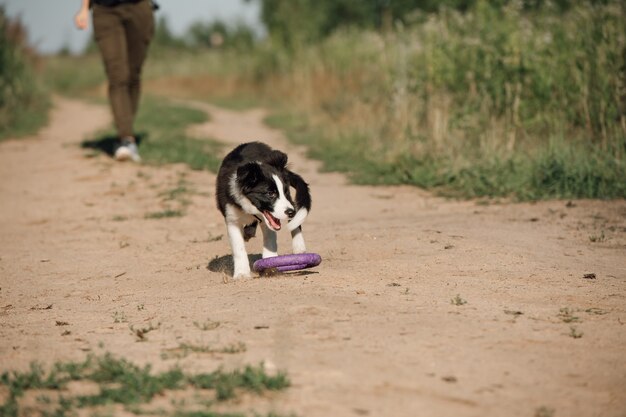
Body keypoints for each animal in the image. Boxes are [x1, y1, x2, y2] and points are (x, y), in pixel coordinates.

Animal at [216, 141, 310, 278]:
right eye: (270, 193)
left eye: (285, 192)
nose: (290, 212)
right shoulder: (231, 218)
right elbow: (238, 247)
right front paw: (242, 274)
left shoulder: (270, 222)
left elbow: (270, 242)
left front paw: (270, 267)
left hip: (290, 203)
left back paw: (299, 246)